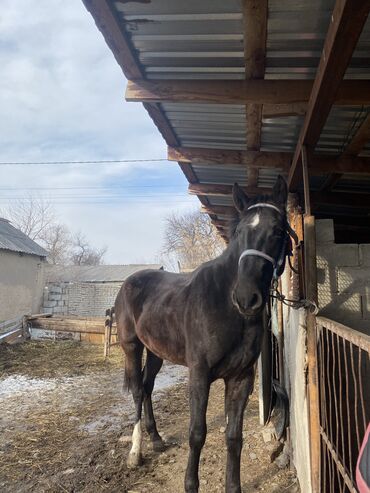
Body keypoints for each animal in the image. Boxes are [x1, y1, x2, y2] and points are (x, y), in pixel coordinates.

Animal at [115, 175, 292, 490]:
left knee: (147, 387)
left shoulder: (240, 378)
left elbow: (234, 437)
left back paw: (156, 439)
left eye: (278, 230)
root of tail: (130, 282)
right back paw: (135, 453)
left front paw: (233, 486)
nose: (247, 298)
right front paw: (190, 484)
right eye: (239, 232)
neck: (226, 305)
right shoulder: (199, 375)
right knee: (136, 390)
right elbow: (197, 433)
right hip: (131, 347)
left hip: (157, 352)